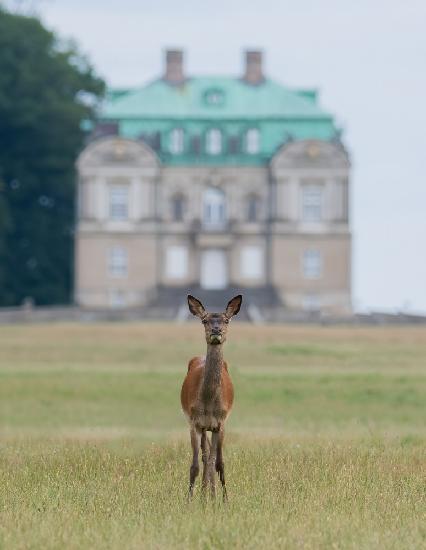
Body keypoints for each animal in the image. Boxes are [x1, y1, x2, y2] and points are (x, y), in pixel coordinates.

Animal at [181, 296, 243, 502]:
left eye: (226, 320)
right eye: (204, 320)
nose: (216, 331)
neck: (208, 404)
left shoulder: (220, 423)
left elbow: (218, 463)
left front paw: (222, 500)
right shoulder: (195, 423)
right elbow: (195, 465)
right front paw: (190, 501)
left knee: (213, 458)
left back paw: (211, 495)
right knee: (205, 455)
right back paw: (204, 495)